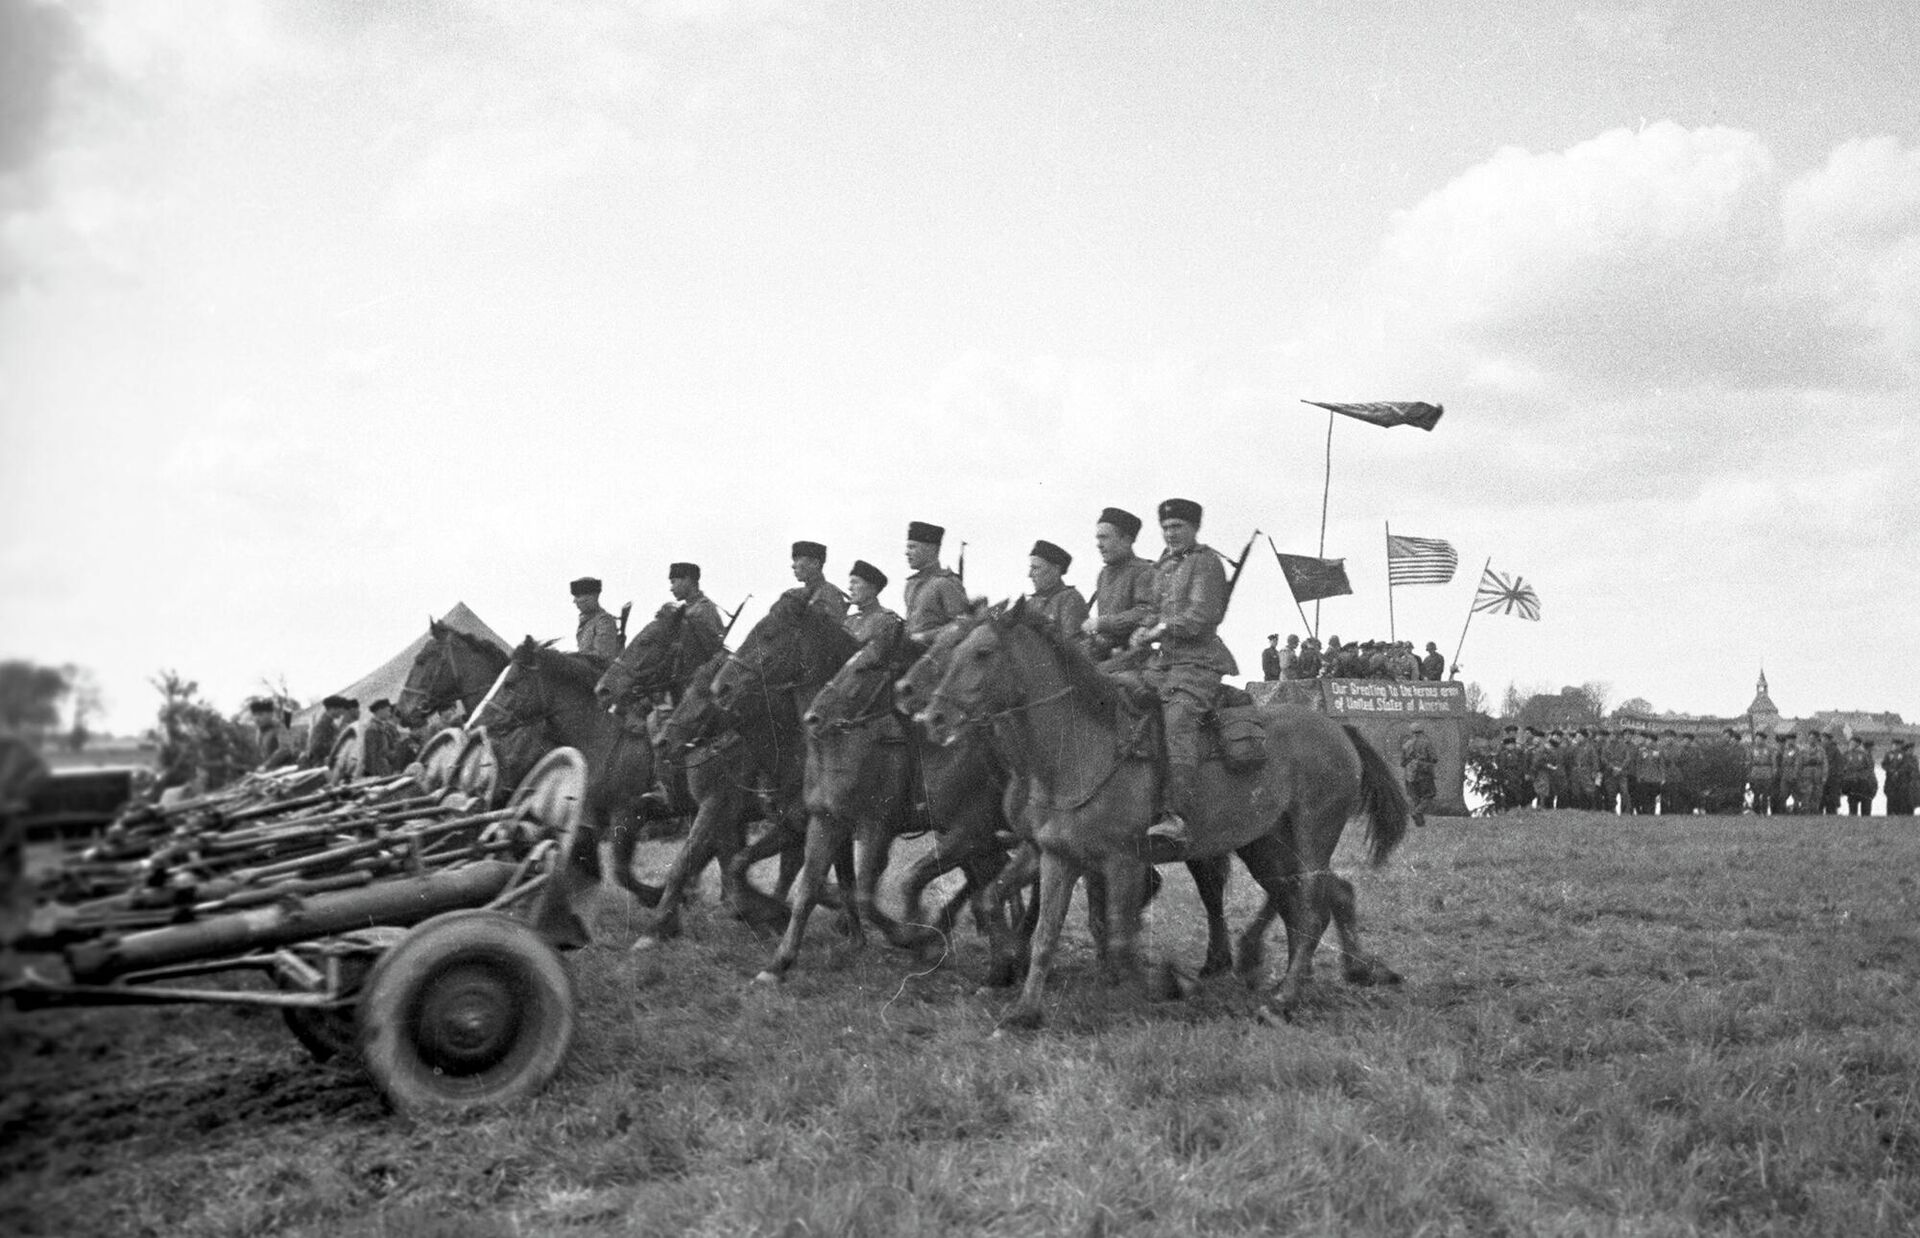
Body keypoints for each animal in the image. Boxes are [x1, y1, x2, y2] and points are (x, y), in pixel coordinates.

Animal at [470, 633, 660, 940]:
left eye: (510, 683)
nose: (475, 724)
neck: (604, 736)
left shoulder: (628, 814)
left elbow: (620, 872)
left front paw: (658, 896)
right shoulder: (590, 819)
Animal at [917, 598, 1413, 1021]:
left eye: (983, 652)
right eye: (950, 650)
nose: (933, 718)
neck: (1079, 751)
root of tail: (1338, 729)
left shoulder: (1121, 862)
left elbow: (1119, 935)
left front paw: (1161, 985)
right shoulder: (1056, 855)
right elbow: (1043, 931)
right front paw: (1023, 1011)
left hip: (1313, 834)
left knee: (1310, 907)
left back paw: (1285, 997)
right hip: (1271, 842)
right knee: (1320, 896)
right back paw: (1324, 973)